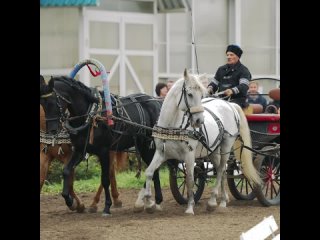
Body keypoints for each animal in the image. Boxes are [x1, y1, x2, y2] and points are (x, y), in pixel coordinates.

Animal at [40, 76, 164, 215]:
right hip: (143, 146)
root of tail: (156, 102)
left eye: (53, 102)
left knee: (153, 168)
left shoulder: (103, 151)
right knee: (154, 169)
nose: (52, 131)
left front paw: (107, 207)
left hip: (148, 145)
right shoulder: (79, 150)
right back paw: (153, 201)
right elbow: (66, 171)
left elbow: (105, 179)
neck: (91, 114)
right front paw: (70, 202)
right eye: (42, 104)